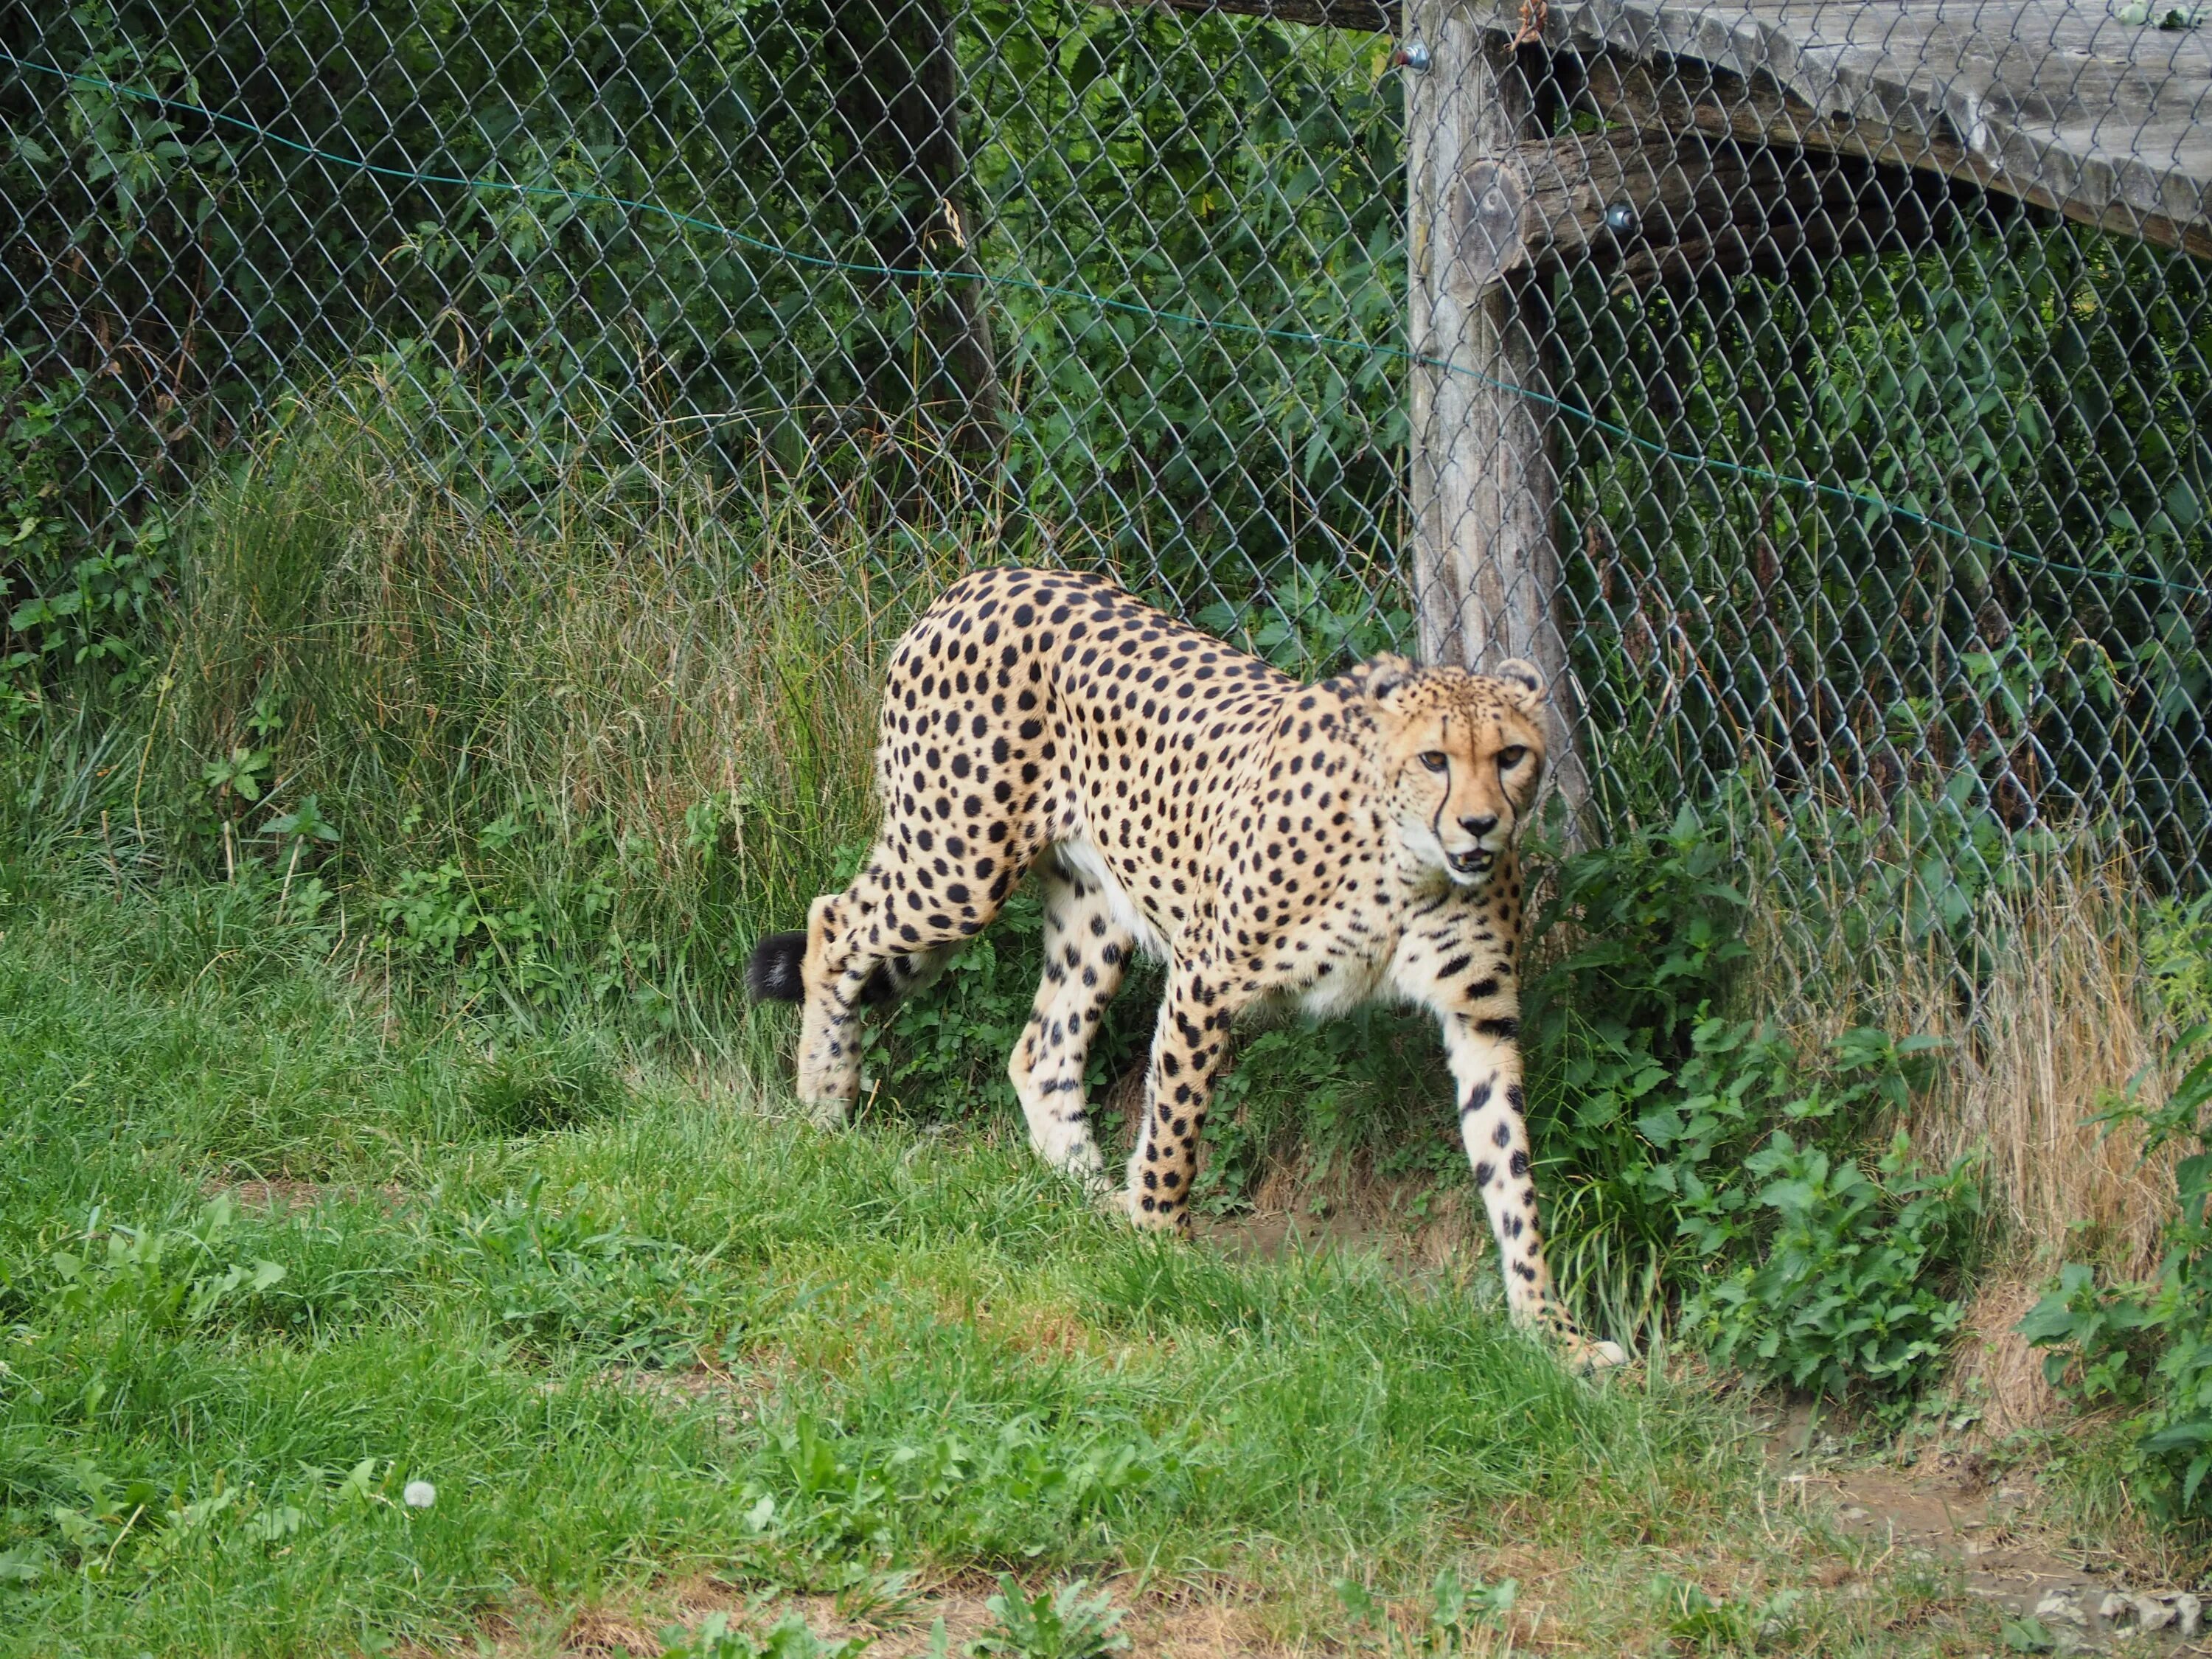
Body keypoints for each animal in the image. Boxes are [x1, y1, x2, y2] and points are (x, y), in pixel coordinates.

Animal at [743, 566, 1628, 1371]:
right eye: (1436, 760)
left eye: (1511, 755)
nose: (1481, 826)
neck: (1410, 865)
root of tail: (984, 578)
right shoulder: (1209, 976)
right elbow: (1176, 1126)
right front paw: (1163, 1250)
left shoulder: (1483, 1018)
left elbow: (1512, 1177)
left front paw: (1555, 1335)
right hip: (957, 866)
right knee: (833, 926)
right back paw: (824, 1104)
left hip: (1095, 908)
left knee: (1042, 1051)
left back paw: (1093, 1197)